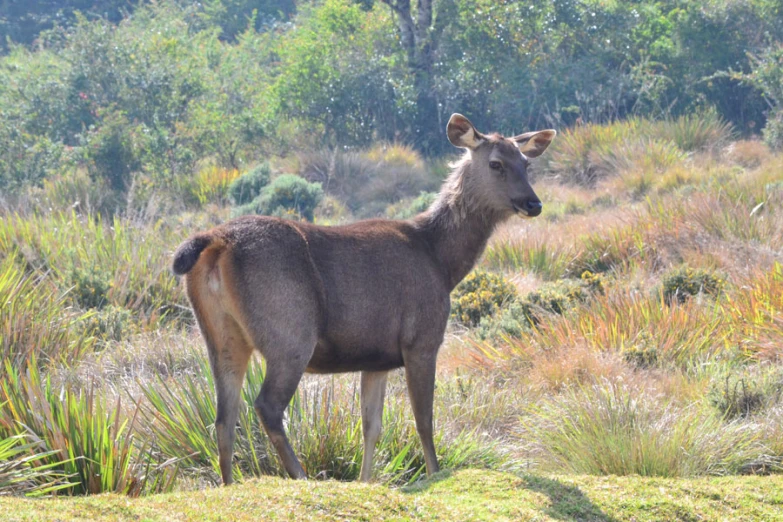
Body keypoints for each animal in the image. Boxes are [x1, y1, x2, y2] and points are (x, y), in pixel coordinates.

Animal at [172, 114, 556, 484]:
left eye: (526, 163)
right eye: (495, 163)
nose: (534, 203)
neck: (441, 262)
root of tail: (216, 241)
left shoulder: (376, 358)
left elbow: (371, 427)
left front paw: (366, 480)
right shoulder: (422, 339)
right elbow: (424, 421)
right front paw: (434, 474)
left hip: (220, 334)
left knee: (223, 417)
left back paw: (230, 483)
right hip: (289, 329)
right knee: (267, 405)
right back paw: (302, 476)